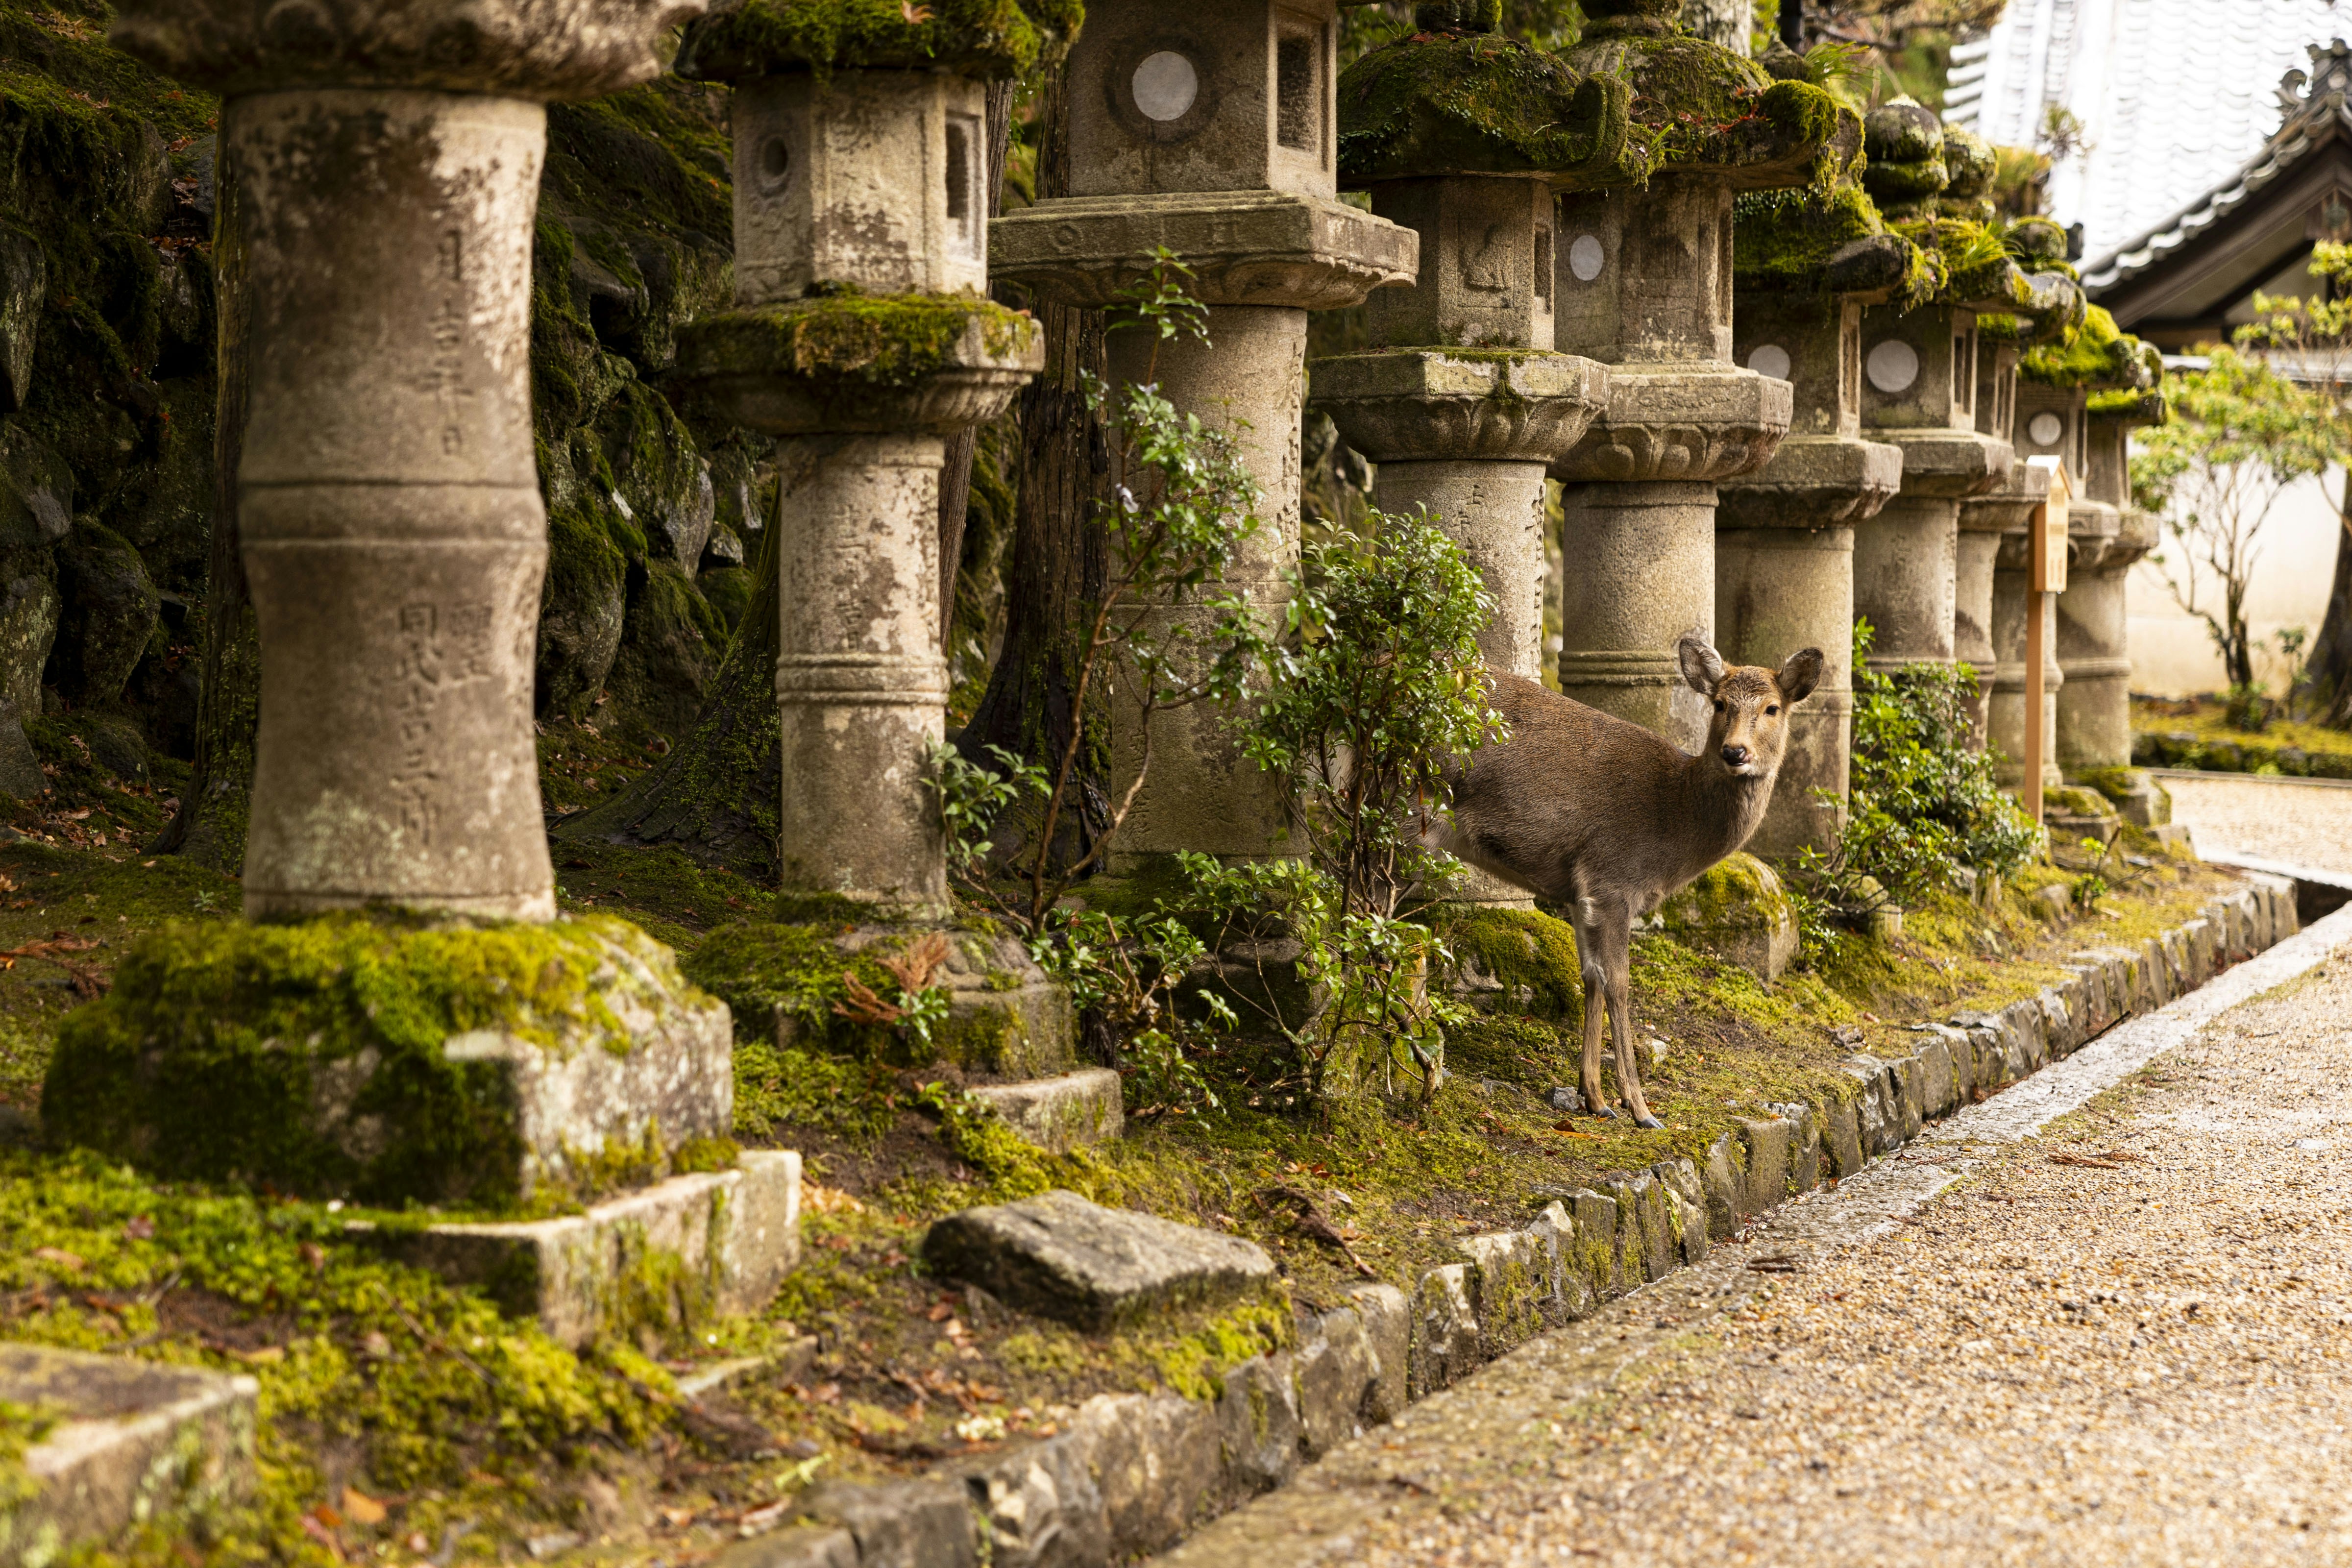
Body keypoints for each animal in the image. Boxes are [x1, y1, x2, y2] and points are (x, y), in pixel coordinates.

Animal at [1435, 634, 1824, 1130]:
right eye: (1719, 703)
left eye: (1773, 708)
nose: (1735, 752)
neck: (1677, 820)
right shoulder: (1614, 879)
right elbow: (1618, 982)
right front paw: (1640, 1108)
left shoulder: (1580, 891)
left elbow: (1590, 977)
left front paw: (1595, 1097)